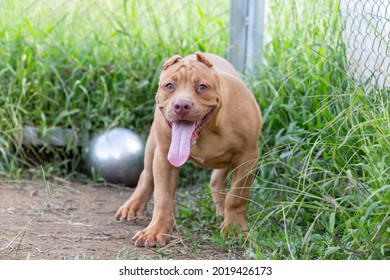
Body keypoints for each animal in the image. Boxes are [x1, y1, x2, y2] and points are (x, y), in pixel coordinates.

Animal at [115, 52, 262, 247]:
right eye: (169, 86)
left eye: (202, 87)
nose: (182, 105)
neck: (208, 129)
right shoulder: (164, 157)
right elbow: (163, 198)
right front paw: (156, 230)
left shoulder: (247, 157)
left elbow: (236, 196)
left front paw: (235, 229)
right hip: (153, 144)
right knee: (146, 175)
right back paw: (132, 206)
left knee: (217, 179)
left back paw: (222, 210)